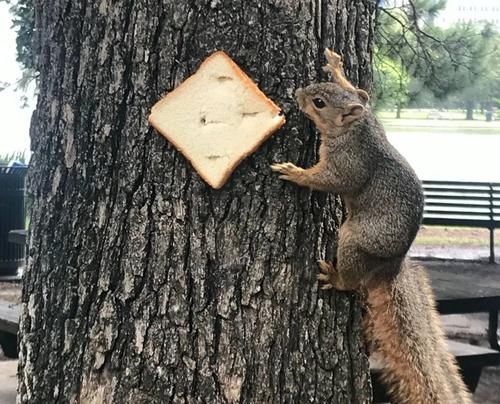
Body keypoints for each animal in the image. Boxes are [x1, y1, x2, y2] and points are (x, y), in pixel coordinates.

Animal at [272, 49, 470, 402]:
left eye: (319, 103)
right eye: (322, 88)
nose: (298, 93)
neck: (357, 128)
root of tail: (389, 267)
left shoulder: (351, 163)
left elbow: (333, 181)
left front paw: (297, 173)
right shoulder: (370, 114)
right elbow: (361, 92)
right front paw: (337, 66)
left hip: (354, 240)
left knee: (351, 280)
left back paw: (336, 278)